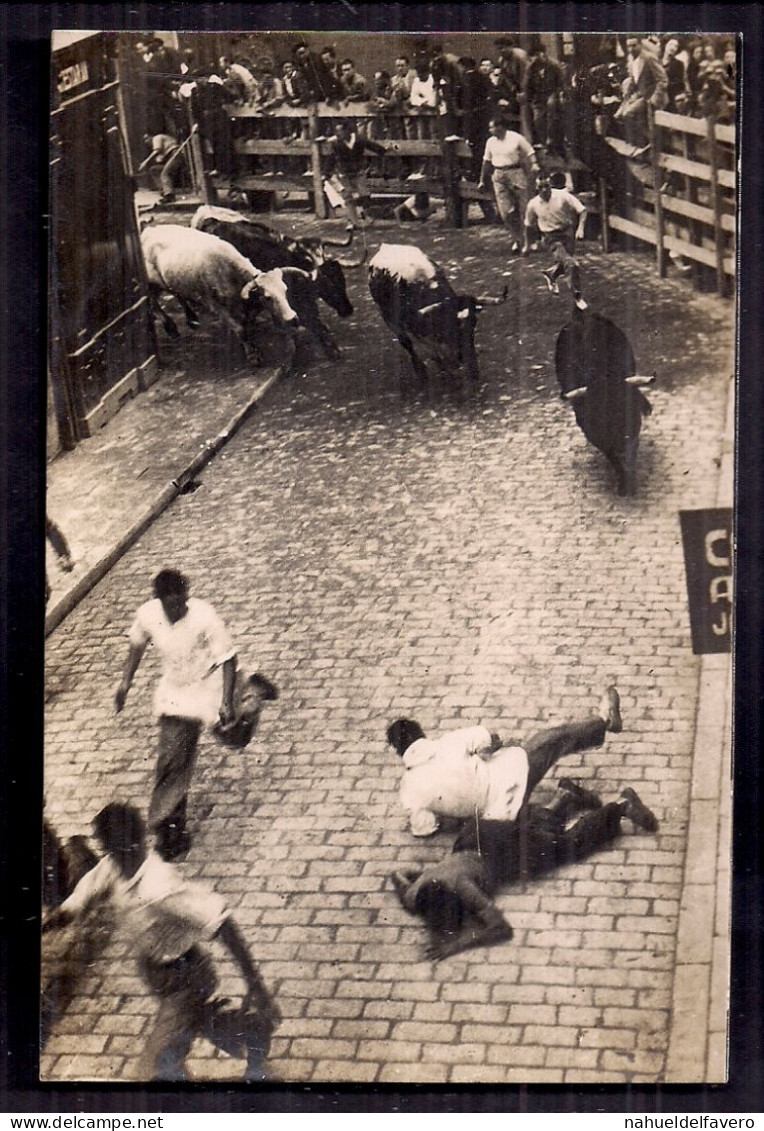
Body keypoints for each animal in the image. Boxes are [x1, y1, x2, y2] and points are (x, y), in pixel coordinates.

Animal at [366, 244, 504, 382]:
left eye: (474, 323)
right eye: (449, 326)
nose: (462, 356)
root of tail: (386, 246)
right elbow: (434, 354)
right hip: (390, 320)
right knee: (408, 345)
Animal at [551, 309, 655, 495]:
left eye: (624, 400)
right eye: (598, 406)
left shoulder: (632, 432)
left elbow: (630, 454)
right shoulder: (599, 437)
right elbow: (614, 457)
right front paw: (623, 484)